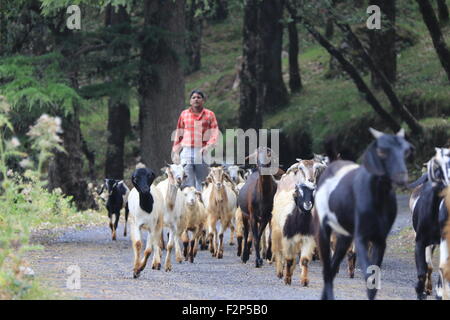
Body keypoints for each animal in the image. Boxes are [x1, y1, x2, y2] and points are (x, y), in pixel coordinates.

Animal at [314, 128, 414, 300]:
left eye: (406, 150)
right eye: (381, 151)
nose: (401, 176)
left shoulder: (379, 239)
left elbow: (373, 276)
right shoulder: (361, 236)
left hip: (345, 234)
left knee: (335, 263)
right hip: (325, 229)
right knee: (328, 266)